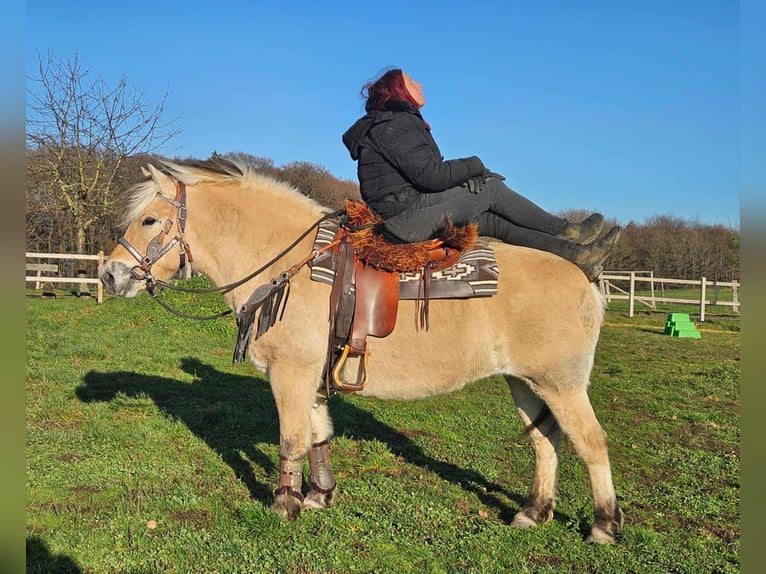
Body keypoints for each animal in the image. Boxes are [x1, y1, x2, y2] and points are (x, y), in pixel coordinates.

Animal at [100, 159, 624, 543]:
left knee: (591, 442)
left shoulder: (289, 373)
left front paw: (284, 504)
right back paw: (533, 512)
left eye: (149, 219)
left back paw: (603, 524)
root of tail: (585, 278)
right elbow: (318, 435)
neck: (287, 263)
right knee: (545, 441)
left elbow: (291, 439)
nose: (109, 275)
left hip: (561, 384)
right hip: (526, 383)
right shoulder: (309, 376)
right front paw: (318, 496)